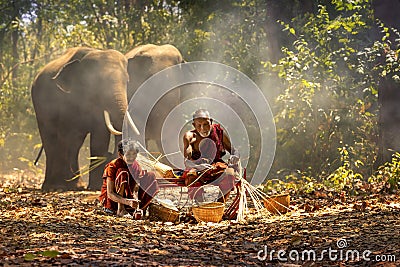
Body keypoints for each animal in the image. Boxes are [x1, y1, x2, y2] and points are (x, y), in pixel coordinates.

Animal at [30, 47, 136, 192]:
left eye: (127, 82)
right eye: (97, 83)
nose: (109, 154)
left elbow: (99, 136)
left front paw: (95, 186)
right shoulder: (65, 99)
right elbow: (67, 134)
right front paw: (63, 186)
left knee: (75, 143)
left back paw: (75, 185)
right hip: (40, 106)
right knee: (52, 139)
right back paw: (54, 186)